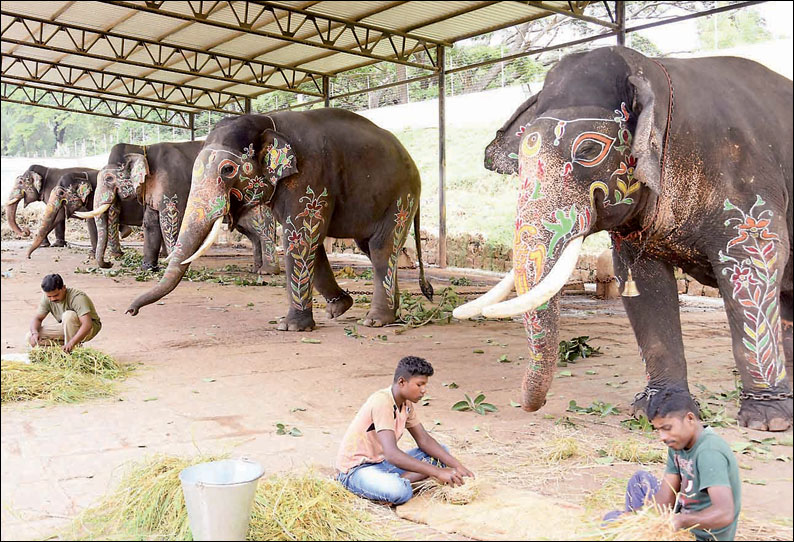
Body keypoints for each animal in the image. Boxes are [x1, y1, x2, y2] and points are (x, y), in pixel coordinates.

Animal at [126, 109, 430, 332]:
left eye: (228, 169)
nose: (131, 311)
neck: (267, 120)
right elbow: (307, 239)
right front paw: (339, 308)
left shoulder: (310, 175)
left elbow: (302, 237)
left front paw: (290, 327)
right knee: (370, 247)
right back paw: (391, 314)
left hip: (402, 197)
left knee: (381, 248)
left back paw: (377, 321)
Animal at [454, 45, 788, 434]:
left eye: (587, 151)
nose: (528, 408)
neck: (652, 71)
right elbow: (642, 280)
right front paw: (663, 413)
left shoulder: (749, 188)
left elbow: (752, 267)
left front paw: (768, 422)